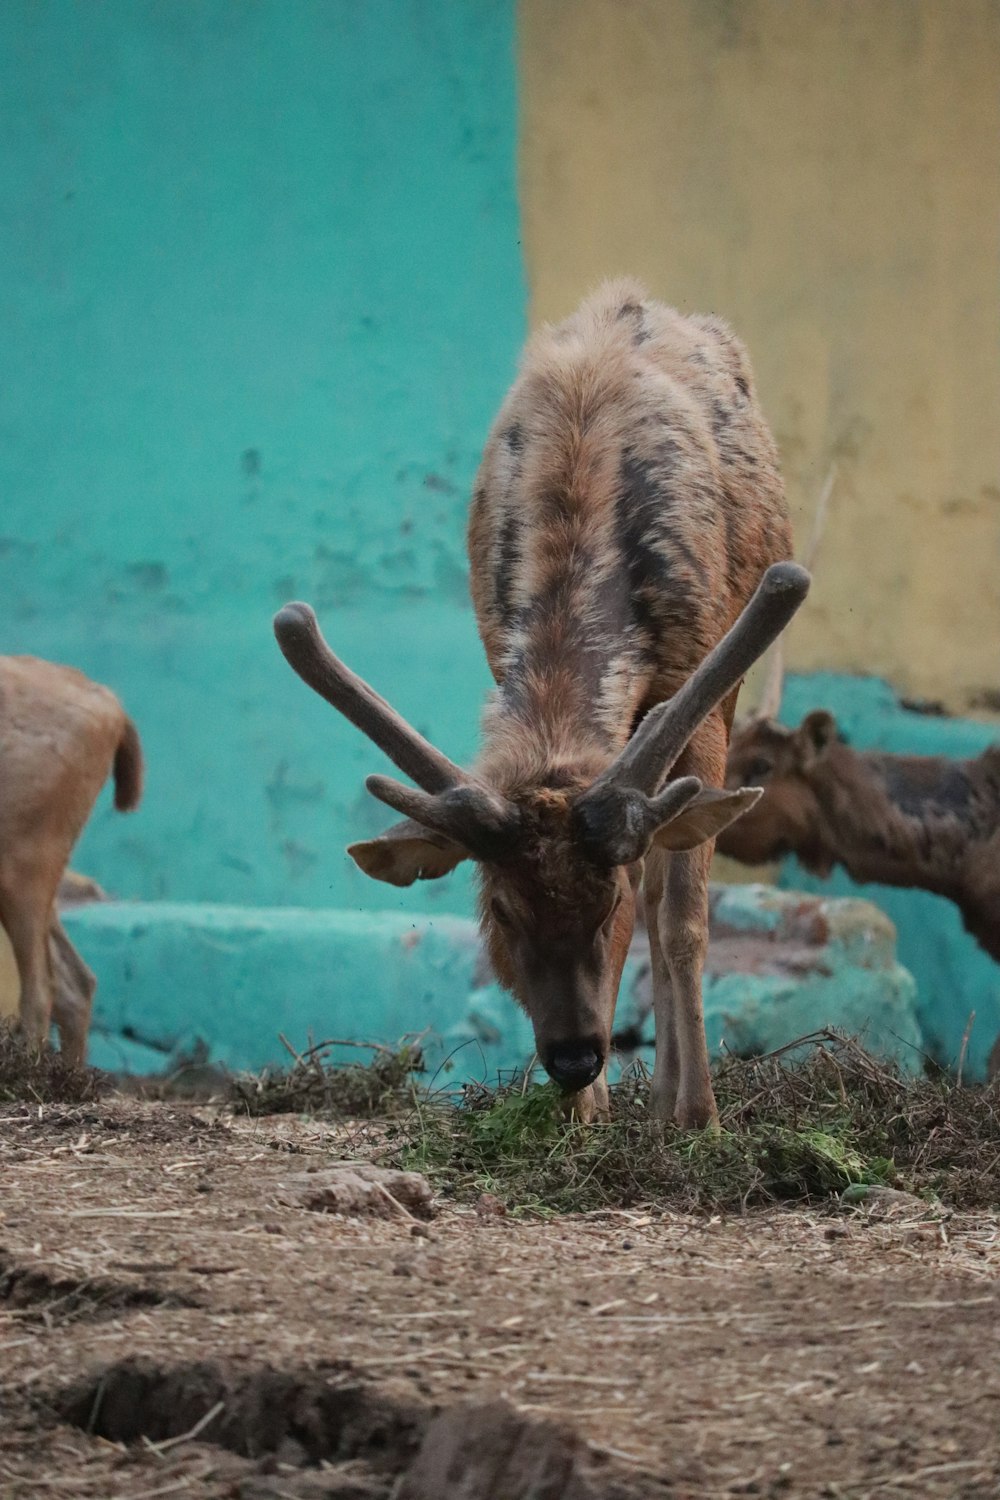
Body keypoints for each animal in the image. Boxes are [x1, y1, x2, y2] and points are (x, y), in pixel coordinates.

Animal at [277, 282, 809, 1128]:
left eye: (605, 904)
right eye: (500, 910)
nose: (574, 1057)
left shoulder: (699, 684)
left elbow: (680, 913)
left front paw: (700, 1116)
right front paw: (586, 1115)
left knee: (671, 880)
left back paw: (671, 1098)